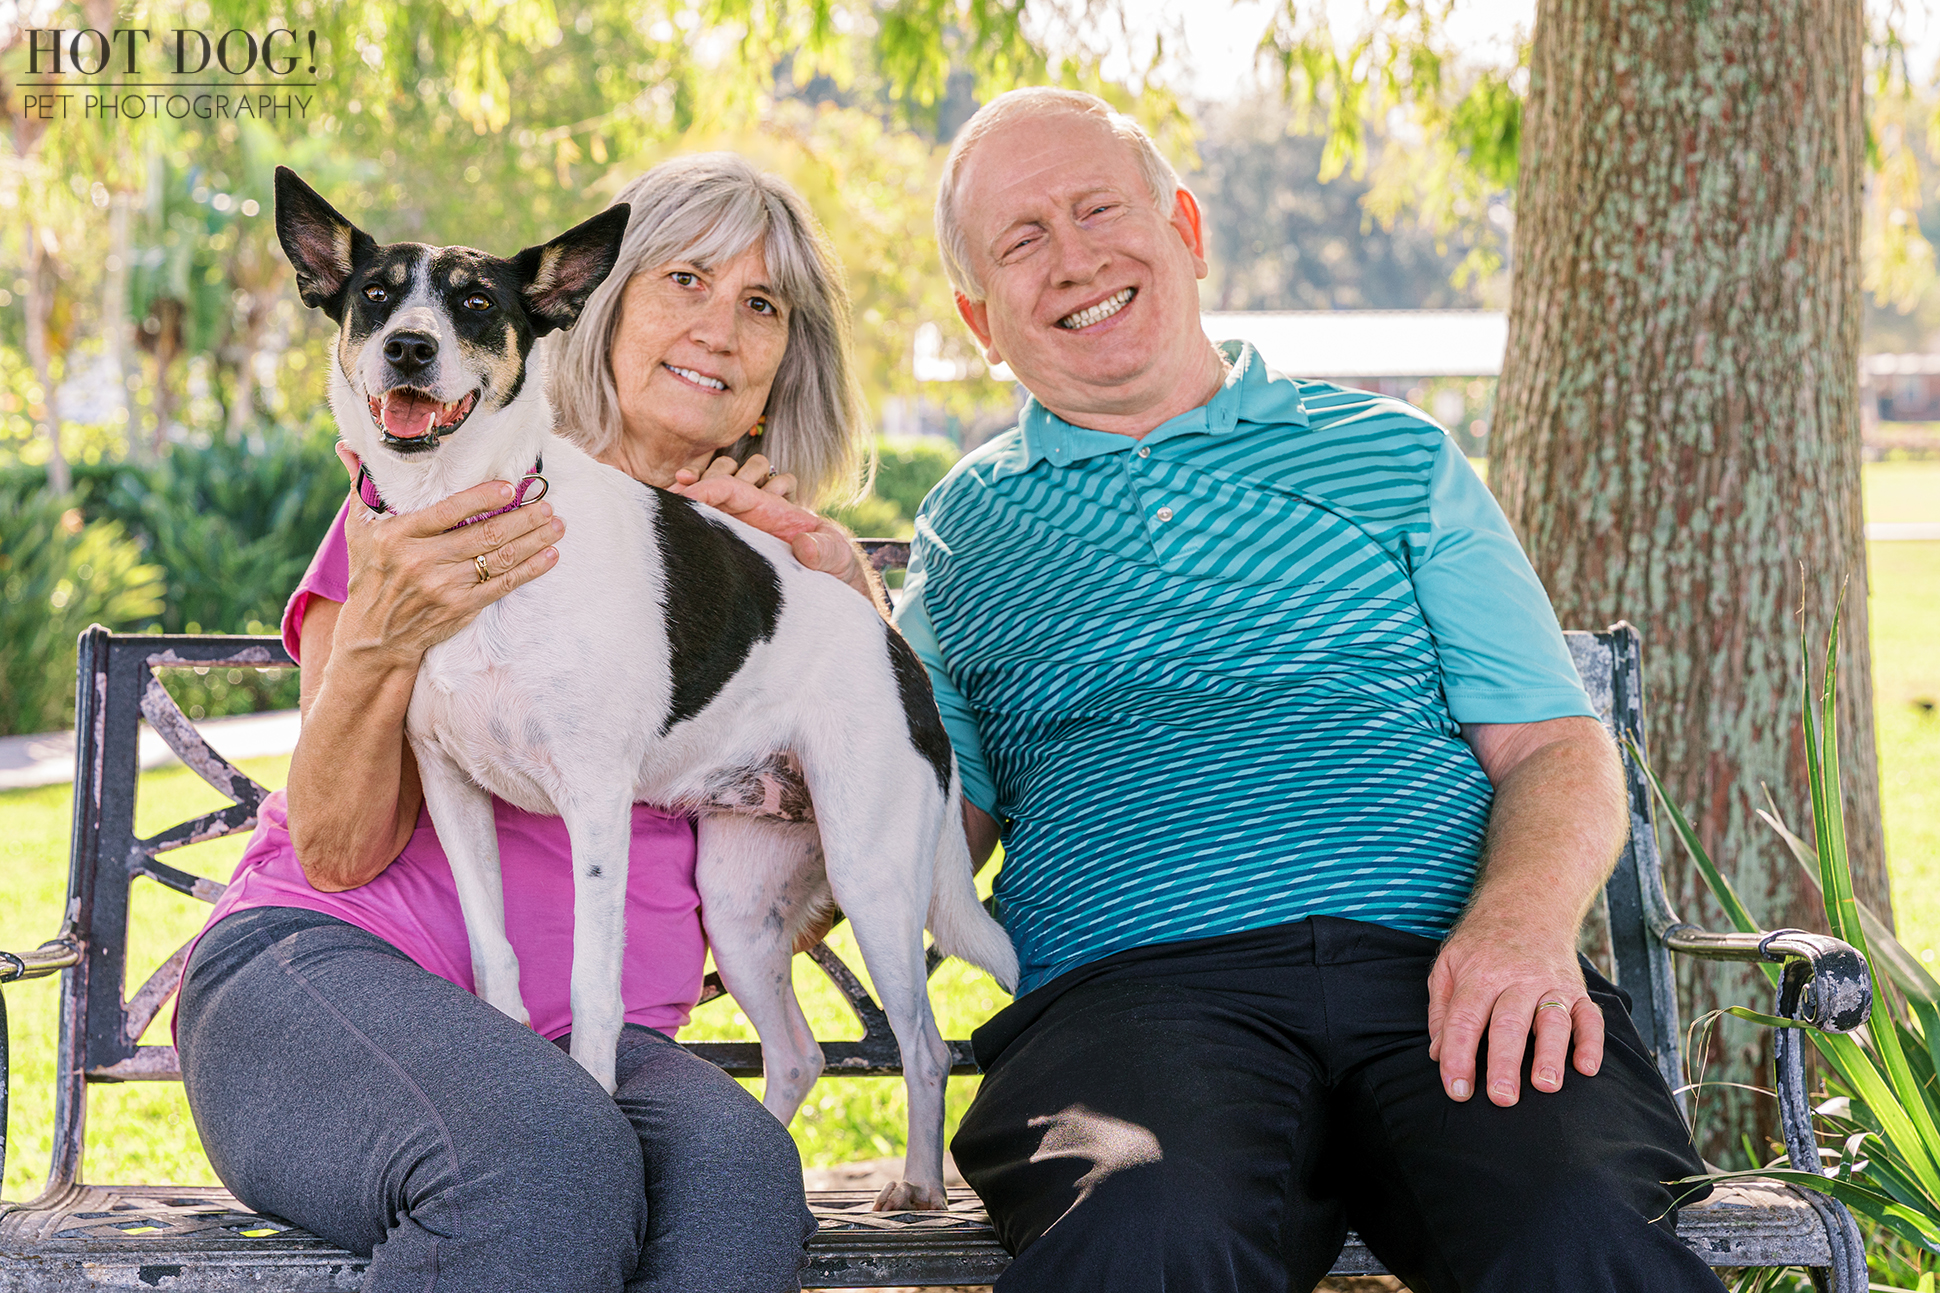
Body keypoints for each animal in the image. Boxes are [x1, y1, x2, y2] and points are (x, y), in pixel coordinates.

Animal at [279, 164, 1024, 1211]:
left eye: (476, 304)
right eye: (376, 296)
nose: (408, 348)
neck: (464, 515)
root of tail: (901, 653)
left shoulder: (595, 803)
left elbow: (594, 986)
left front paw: (593, 1093)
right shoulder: (453, 791)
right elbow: (495, 954)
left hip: (873, 875)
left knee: (922, 1046)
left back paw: (917, 1185)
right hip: (741, 903)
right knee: (799, 1053)